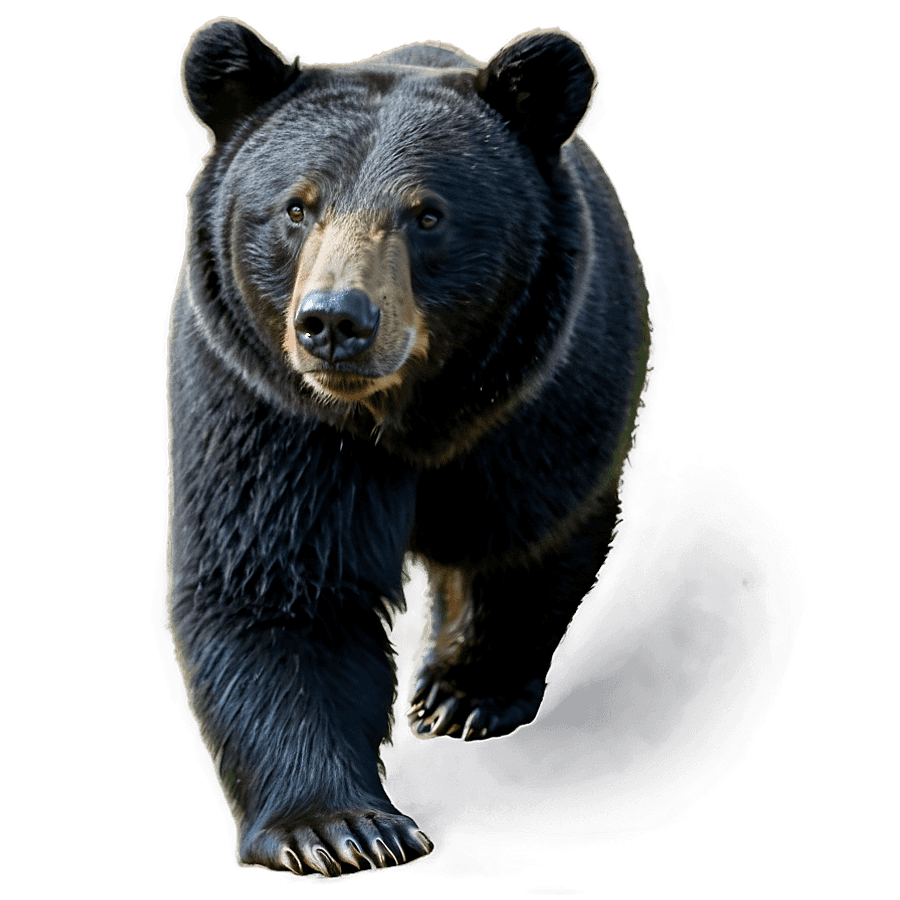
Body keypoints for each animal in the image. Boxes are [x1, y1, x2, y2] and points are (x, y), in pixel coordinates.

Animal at [163, 17, 650, 878]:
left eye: (427, 215)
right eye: (297, 207)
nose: (335, 321)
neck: (402, 411)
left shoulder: (544, 393)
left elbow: (526, 532)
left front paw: (465, 692)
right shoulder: (265, 406)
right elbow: (275, 583)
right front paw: (338, 829)